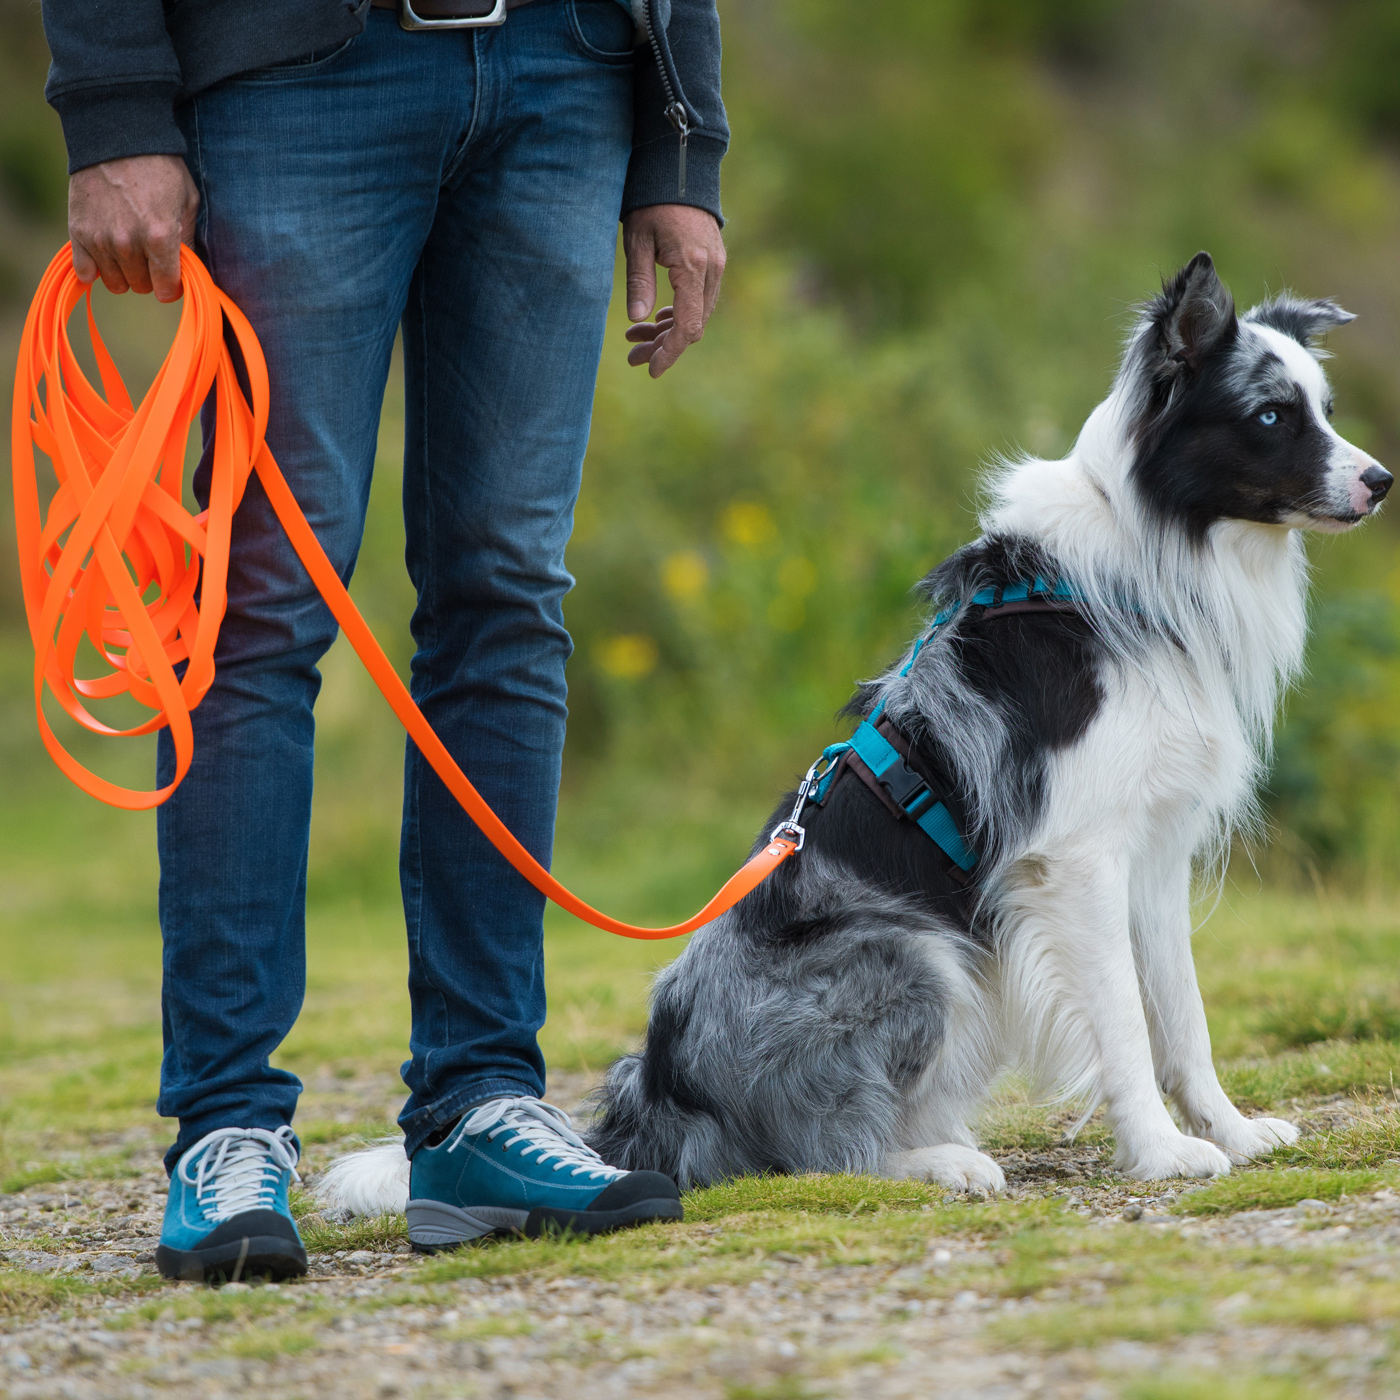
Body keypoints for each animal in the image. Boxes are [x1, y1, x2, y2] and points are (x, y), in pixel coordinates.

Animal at [315, 252, 1388, 1215]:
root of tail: (658, 1098)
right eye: (1270, 417)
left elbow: (1184, 1016)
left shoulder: (1154, 856)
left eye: (1326, 407)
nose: (1381, 480)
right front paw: (1163, 1154)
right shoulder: (1074, 861)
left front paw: (1231, 1131)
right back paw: (936, 1163)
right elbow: (1125, 1023)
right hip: (915, 950)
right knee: (818, 1151)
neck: (1149, 560)